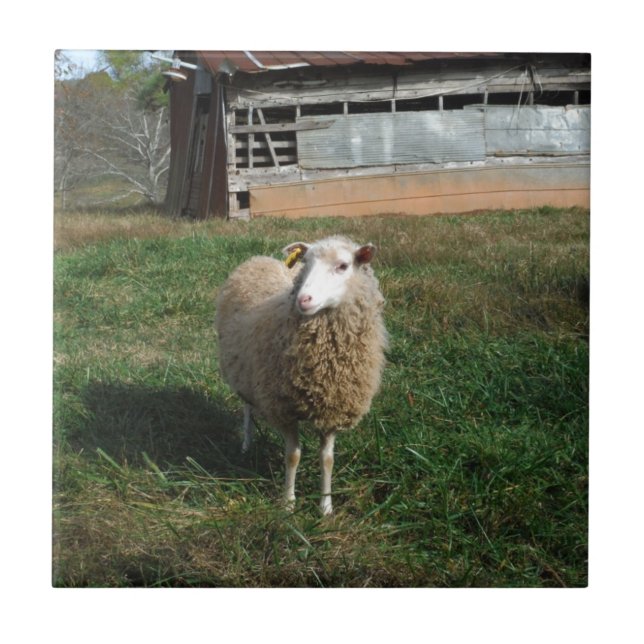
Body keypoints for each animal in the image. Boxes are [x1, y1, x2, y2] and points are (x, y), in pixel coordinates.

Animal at [215, 235, 387, 515]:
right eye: (305, 263)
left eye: (343, 266)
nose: (304, 299)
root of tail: (259, 258)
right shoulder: (284, 410)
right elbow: (293, 456)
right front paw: (288, 503)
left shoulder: (333, 410)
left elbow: (327, 459)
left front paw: (326, 507)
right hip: (245, 375)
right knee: (248, 408)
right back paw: (246, 444)